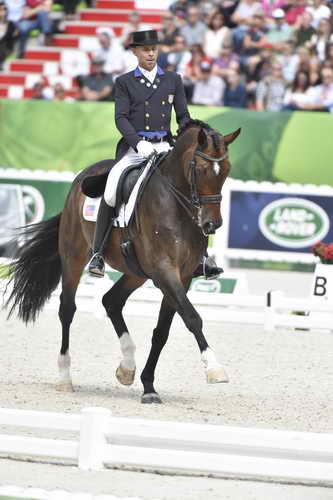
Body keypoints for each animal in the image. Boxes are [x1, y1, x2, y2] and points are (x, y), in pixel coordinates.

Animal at [5, 119, 239, 404]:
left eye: (225, 171)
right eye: (201, 169)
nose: (211, 224)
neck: (175, 204)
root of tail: (83, 175)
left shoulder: (180, 276)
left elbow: (162, 331)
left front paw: (148, 386)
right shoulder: (164, 270)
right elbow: (193, 318)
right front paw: (215, 369)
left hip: (136, 272)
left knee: (111, 301)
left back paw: (126, 368)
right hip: (73, 258)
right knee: (67, 309)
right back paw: (64, 377)